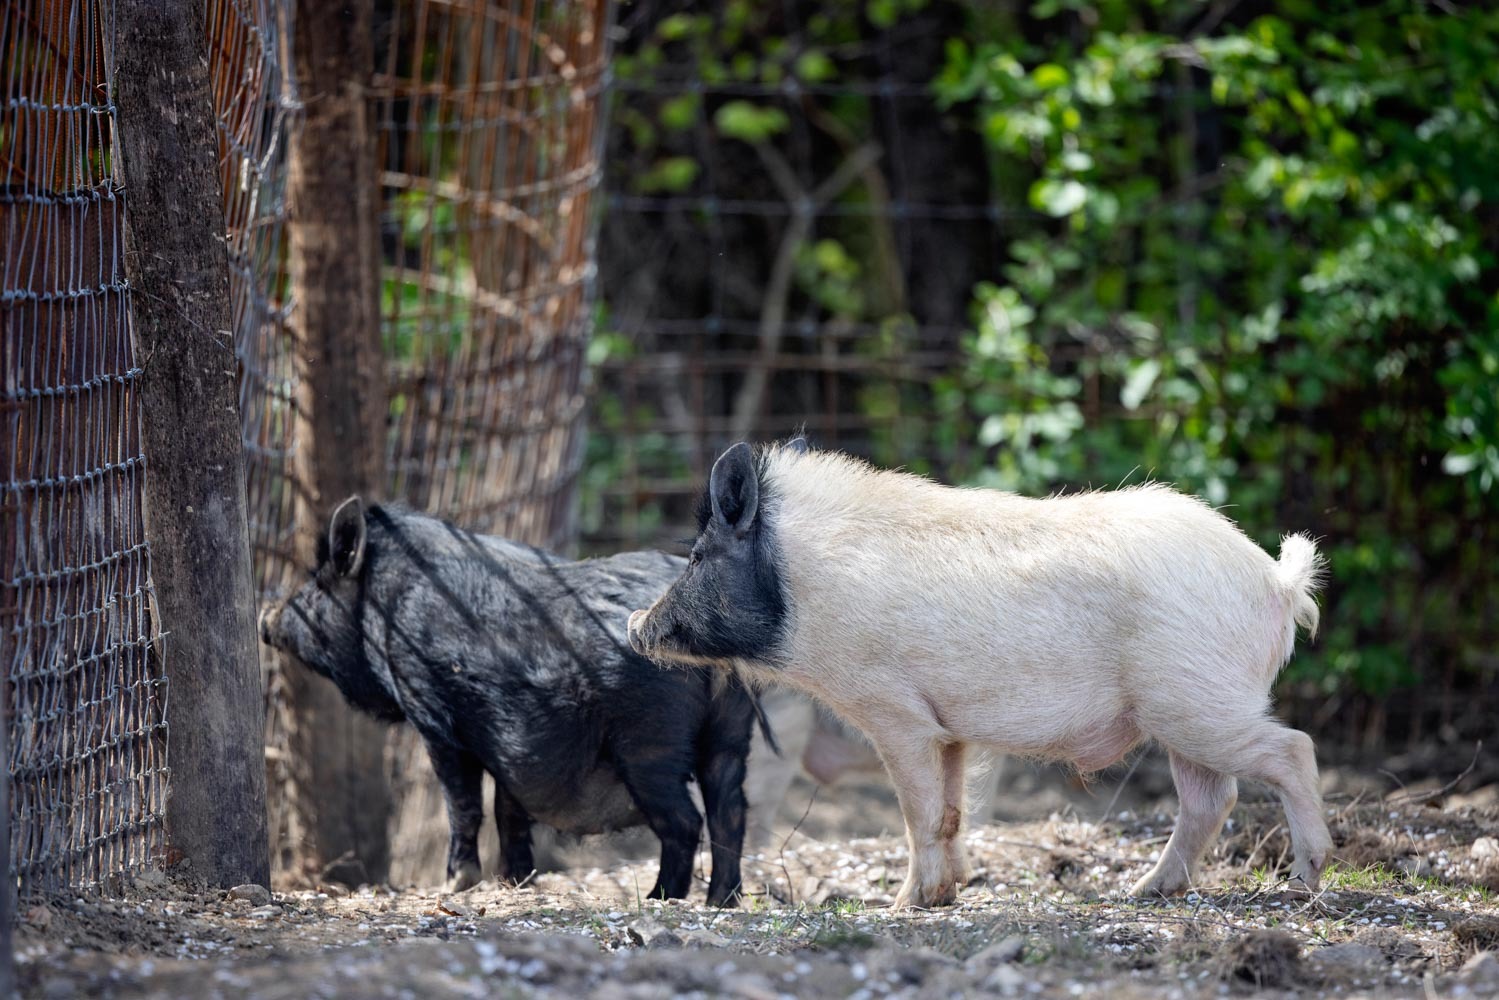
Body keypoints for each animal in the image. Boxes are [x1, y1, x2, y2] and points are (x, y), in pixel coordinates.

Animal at [260, 497, 765, 906]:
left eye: (316, 586)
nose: (267, 615)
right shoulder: (514, 742)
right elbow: (508, 810)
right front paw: (515, 881)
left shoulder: (431, 710)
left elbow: (462, 801)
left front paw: (456, 884)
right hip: (730, 731)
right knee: (730, 810)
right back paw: (720, 902)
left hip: (648, 741)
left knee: (686, 821)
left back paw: (661, 897)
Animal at [628, 439, 1331, 908]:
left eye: (697, 557)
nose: (637, 623)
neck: (800, 592)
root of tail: (1275, 579)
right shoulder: (950, 728)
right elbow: (950, 811)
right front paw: (945, 896)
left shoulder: (894, 711)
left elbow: (917, 812)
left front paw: (902, 907)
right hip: (1183, 714)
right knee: (1211, 800)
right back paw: (1141, 892)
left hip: (1197, 701)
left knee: (1293, 749)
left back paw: (1306, 876)